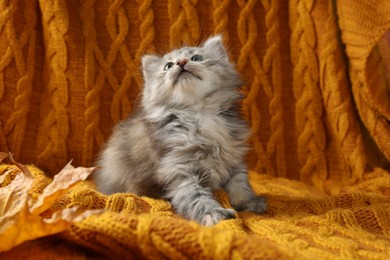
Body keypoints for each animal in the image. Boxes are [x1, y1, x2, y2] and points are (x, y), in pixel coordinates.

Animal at [95, 35, 266, 225]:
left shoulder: (233, 159)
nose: (181, 62)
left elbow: (241, 184)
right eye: (168, 66)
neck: (199, 112)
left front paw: (249, 202)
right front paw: (214, 213)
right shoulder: (179, 167)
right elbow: (196, 197)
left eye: (196, 58)